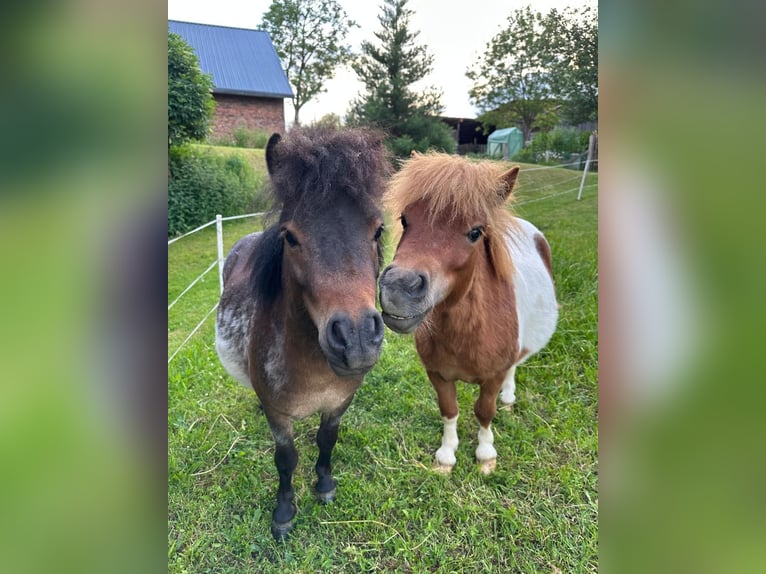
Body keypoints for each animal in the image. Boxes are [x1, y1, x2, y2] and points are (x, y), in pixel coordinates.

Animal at [215, 127, 389, 539]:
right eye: (290, 237)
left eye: (378, 230)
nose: (356, 338)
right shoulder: (279, 415)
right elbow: (286, 458)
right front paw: (284, 511)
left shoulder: (340, 402)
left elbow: (327, 440)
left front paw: (324, 485)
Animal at [378, 153, 558, 474]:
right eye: (405, 219)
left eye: (475, 232)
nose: (399, 289)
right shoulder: (437, 374)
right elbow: (449, 410)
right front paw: (446, 457)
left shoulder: (493, 376)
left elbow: (484, 411)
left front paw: (486, 456)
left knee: (514, 367)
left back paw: (509, 400)